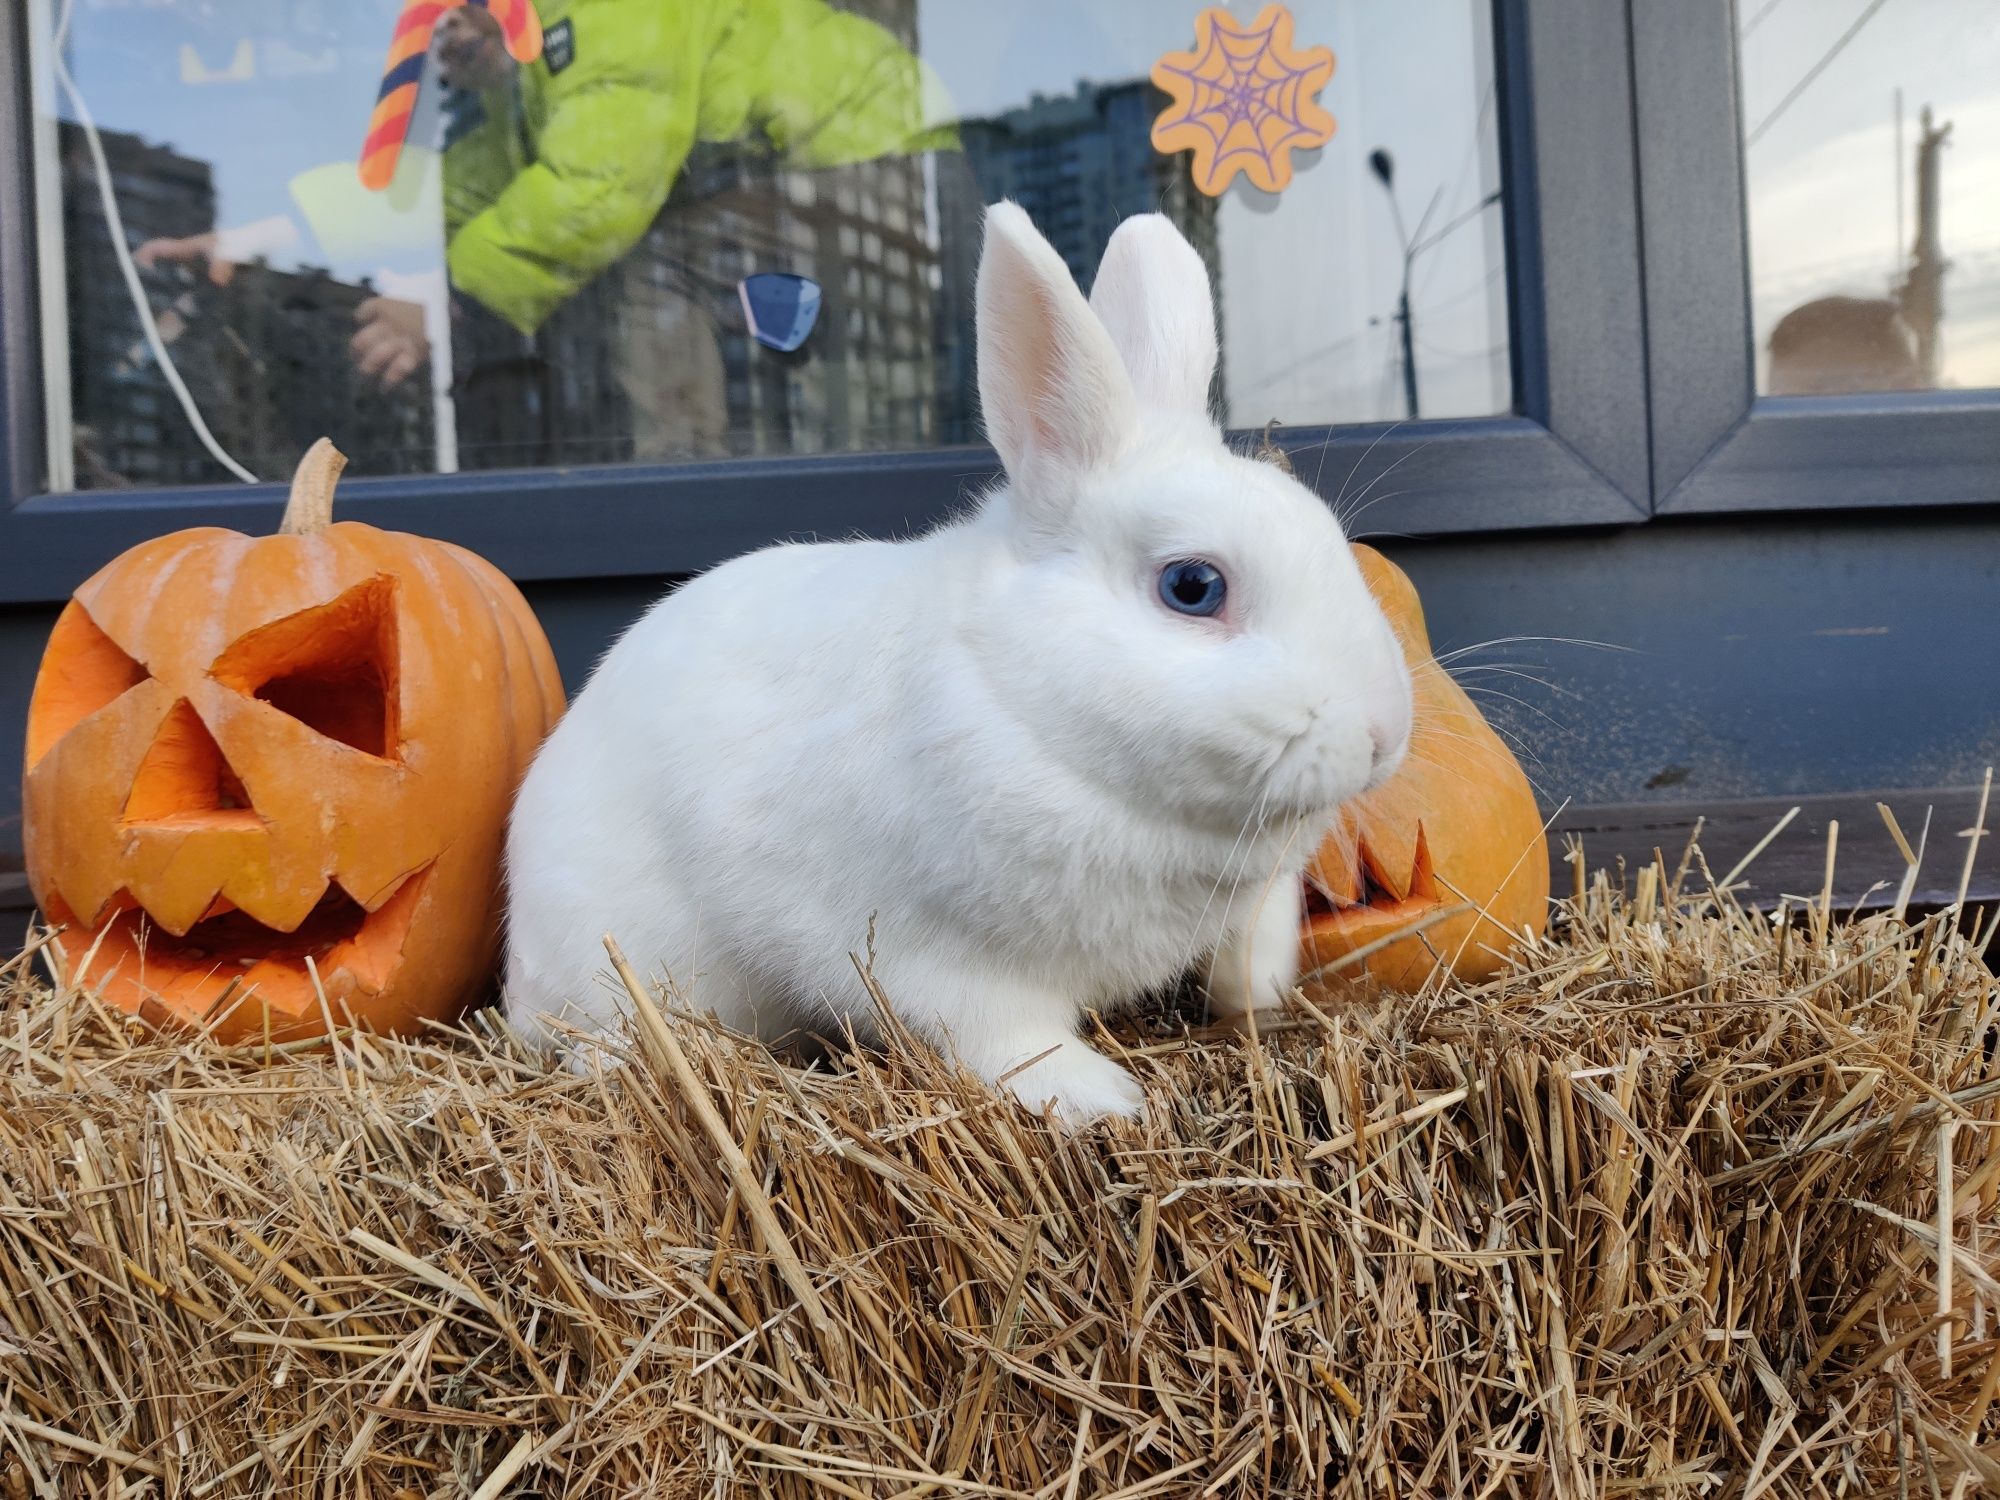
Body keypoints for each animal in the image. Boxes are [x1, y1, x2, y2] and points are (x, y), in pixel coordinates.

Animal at [504, 209, 1408, 1128]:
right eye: (1193, 587)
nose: (1382, 734)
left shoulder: (1255, 896)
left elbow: (1254, 945)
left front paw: (1259, 999)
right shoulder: (937, 959)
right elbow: (1007, 1038)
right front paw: (1107, 1099)